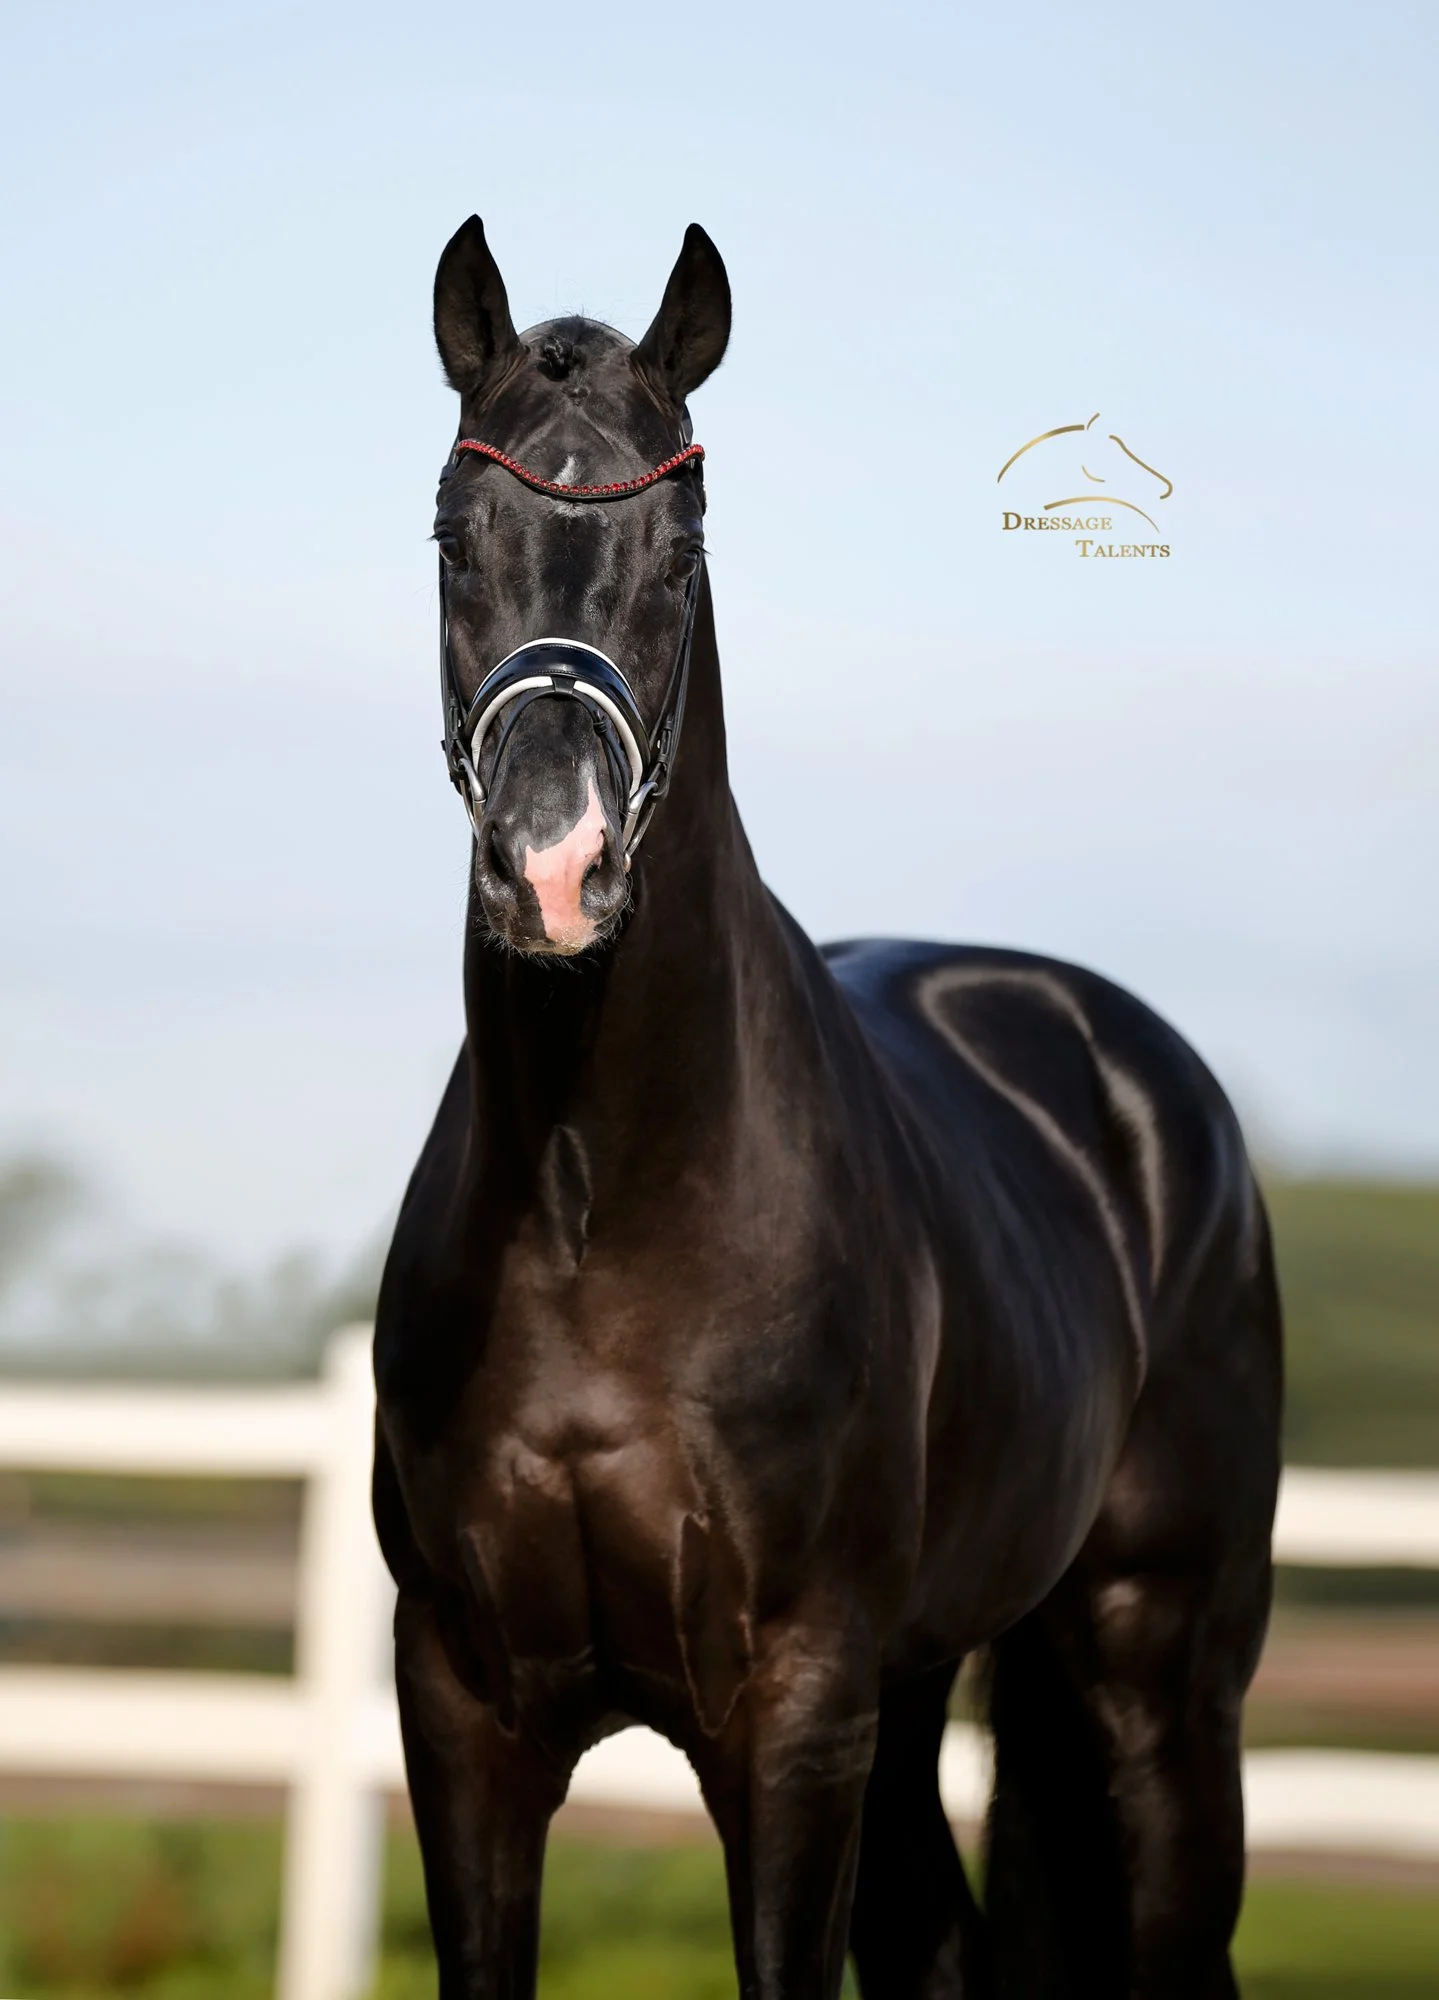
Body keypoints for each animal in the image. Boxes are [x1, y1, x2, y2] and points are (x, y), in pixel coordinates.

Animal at [373, 216, 1282, 2000]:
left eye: (680, 549)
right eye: (453, 539)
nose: (555, 871)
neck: (596, 1202)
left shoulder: (791, 1714)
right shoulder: (463, 1711)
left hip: (1156, 1674)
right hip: (923, 1688)